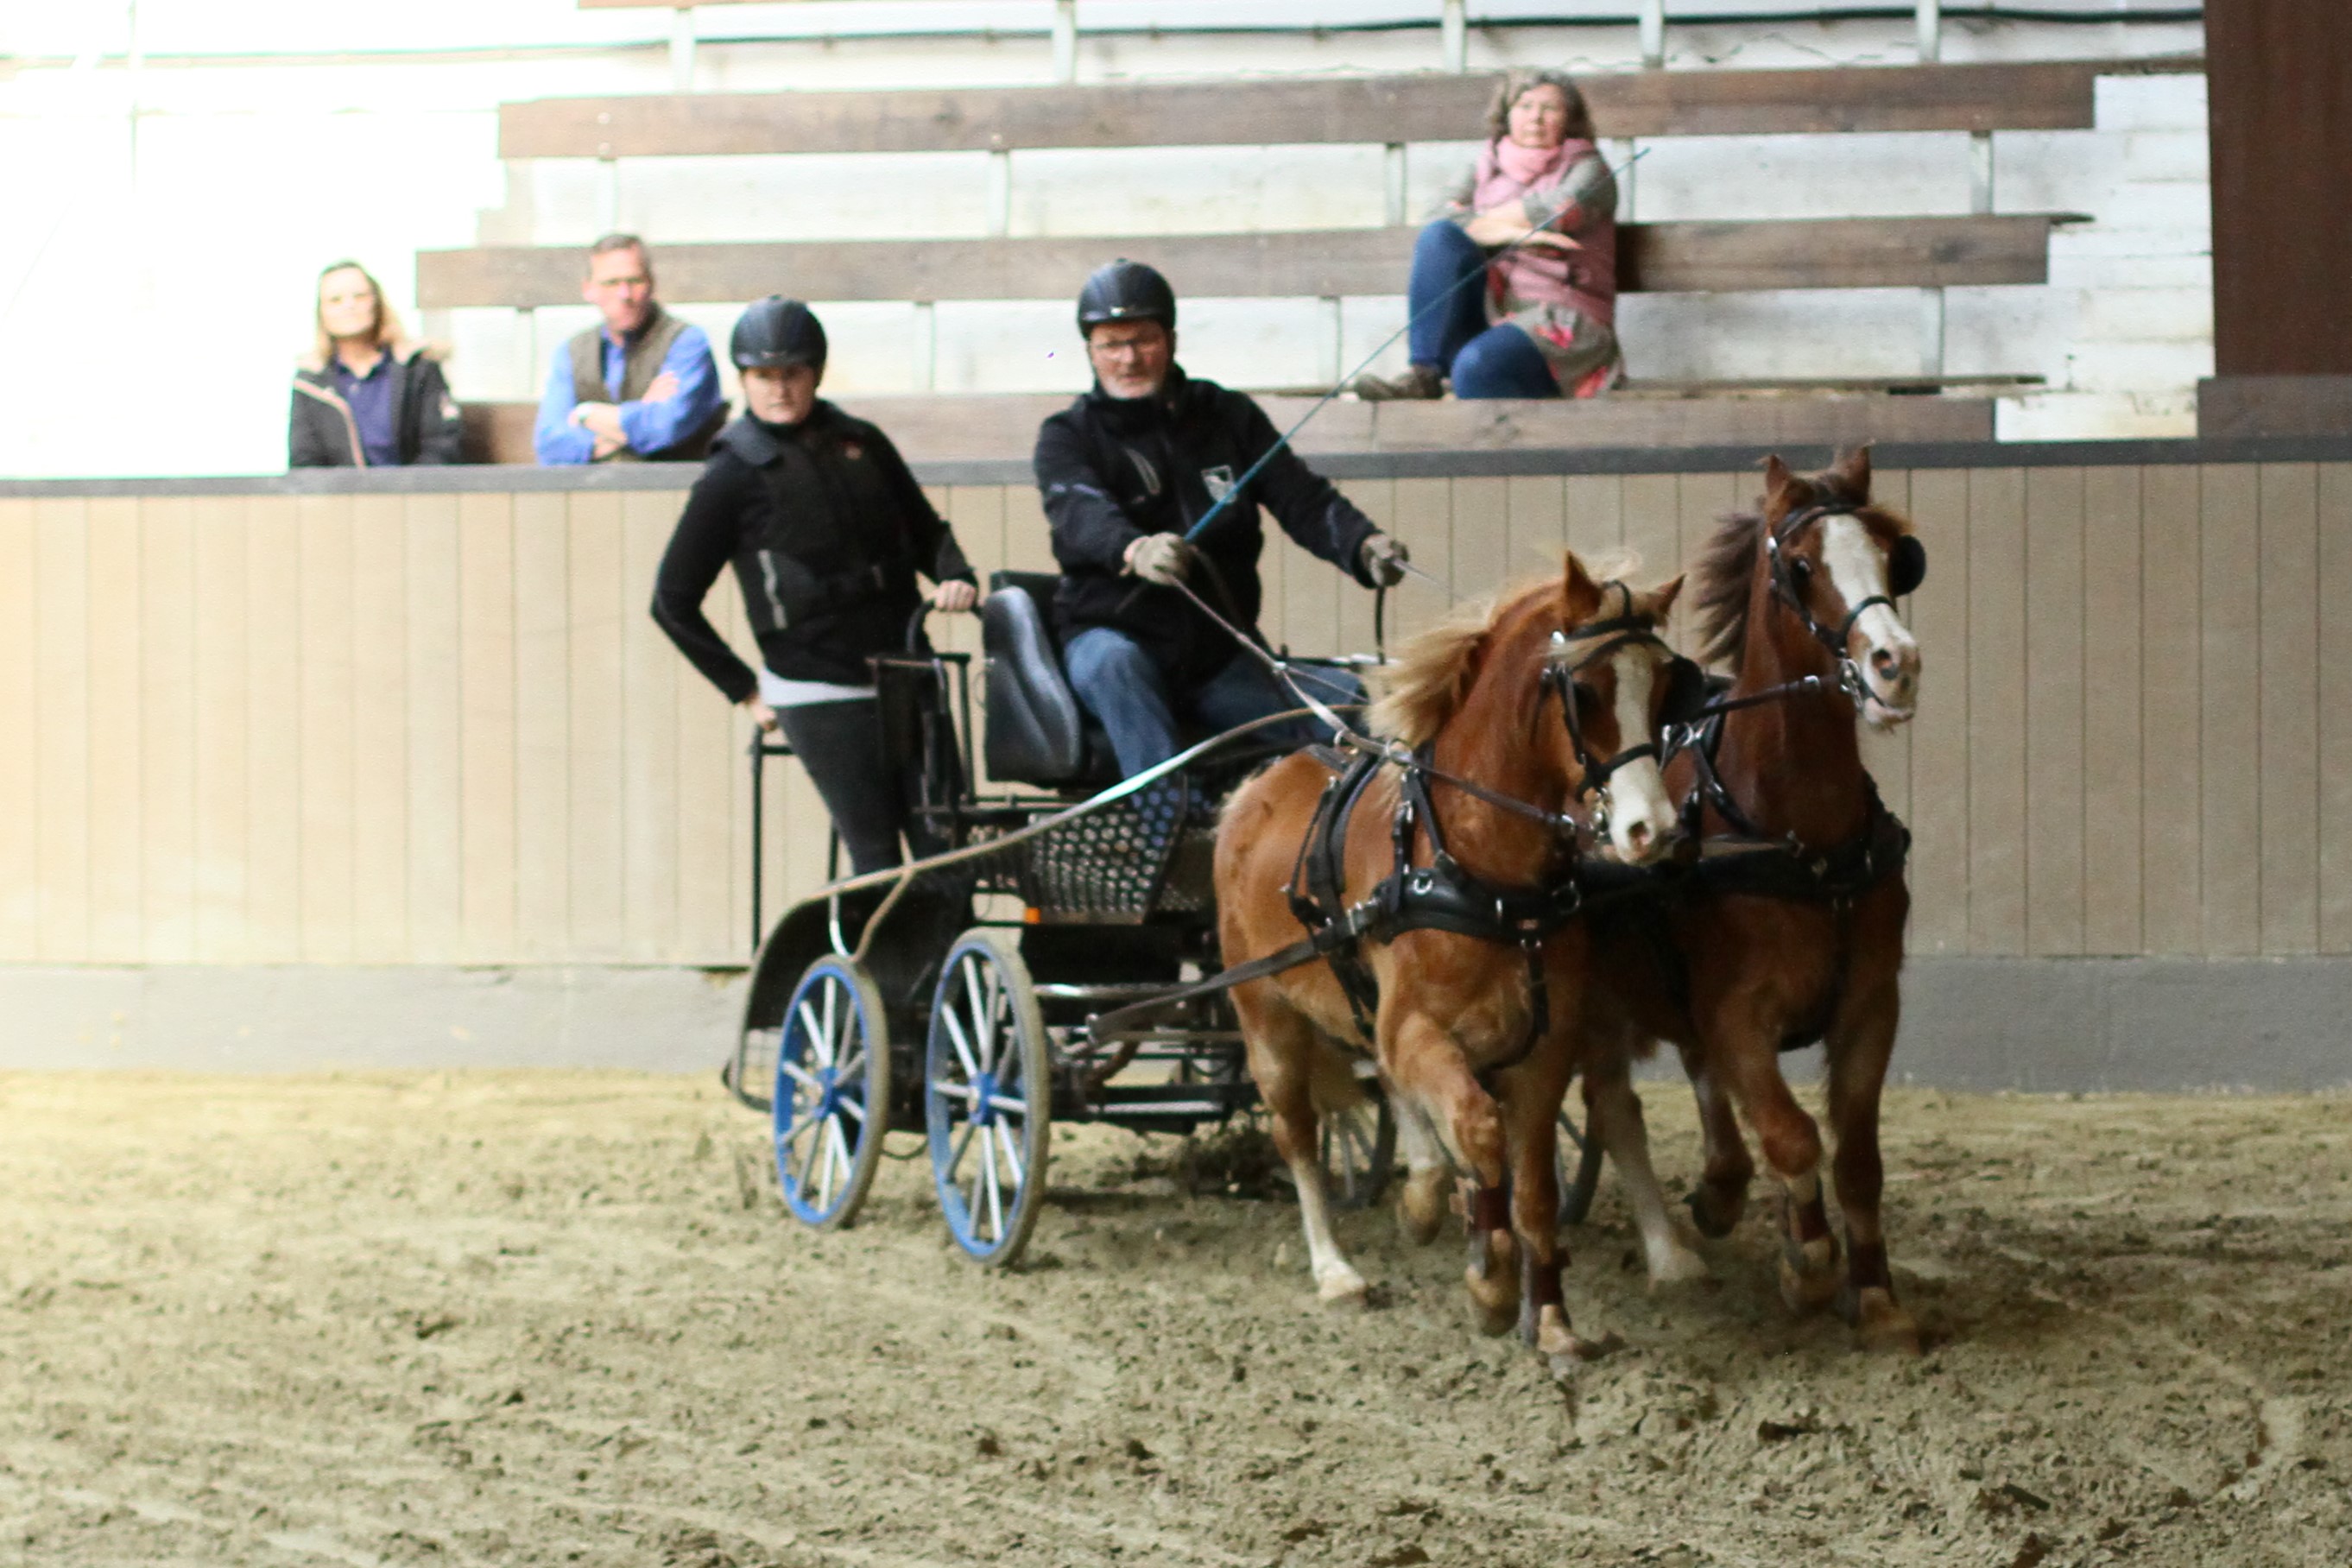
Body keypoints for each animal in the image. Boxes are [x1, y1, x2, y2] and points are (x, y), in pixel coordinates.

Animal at [1212, 552, 1705, 1360]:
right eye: (1585, 691)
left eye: (1666, 687)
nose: (1653, 830)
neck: (1479, 871)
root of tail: (1253, 789)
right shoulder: (1419, 1030)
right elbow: (1476, 1131)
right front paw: (1491, 1282)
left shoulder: (1542, 1050)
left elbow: (1531, 1184)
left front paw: (1552, 1318)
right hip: (1268, 1020)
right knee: (1300, 1136)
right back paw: (1336, 1268)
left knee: (1382, 1085)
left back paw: (1420, 1193)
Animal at [1581, 447, 1926, 1353]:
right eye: (1801, 568)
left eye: (1895, 557)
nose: (1897, 664)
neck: (1806, 843)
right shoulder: (1740, 1015)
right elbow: (1794, 1136)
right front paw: (1808, 1264)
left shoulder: (1871, 1007)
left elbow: (1857, 1157)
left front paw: (1877, 1295)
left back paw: (1721, 1187)